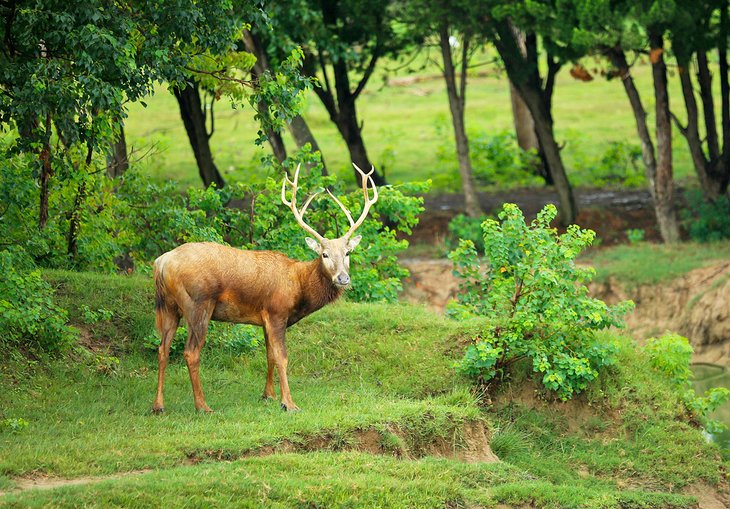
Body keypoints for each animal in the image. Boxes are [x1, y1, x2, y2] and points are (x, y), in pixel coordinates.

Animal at [151, 163, 378, 412]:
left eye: (347, 253)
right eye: (324, 254)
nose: (342, 278)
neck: (298, 287)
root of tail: (161, 263)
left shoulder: (265, 318)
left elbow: (269, 355)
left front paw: (268, 395)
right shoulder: (276, 311)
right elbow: (282, 357)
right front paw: (289, 403)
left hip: (168, 306)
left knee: (162, 349)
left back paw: (158, 405)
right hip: (198, 303)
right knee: (191, 352)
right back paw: (202, 406)